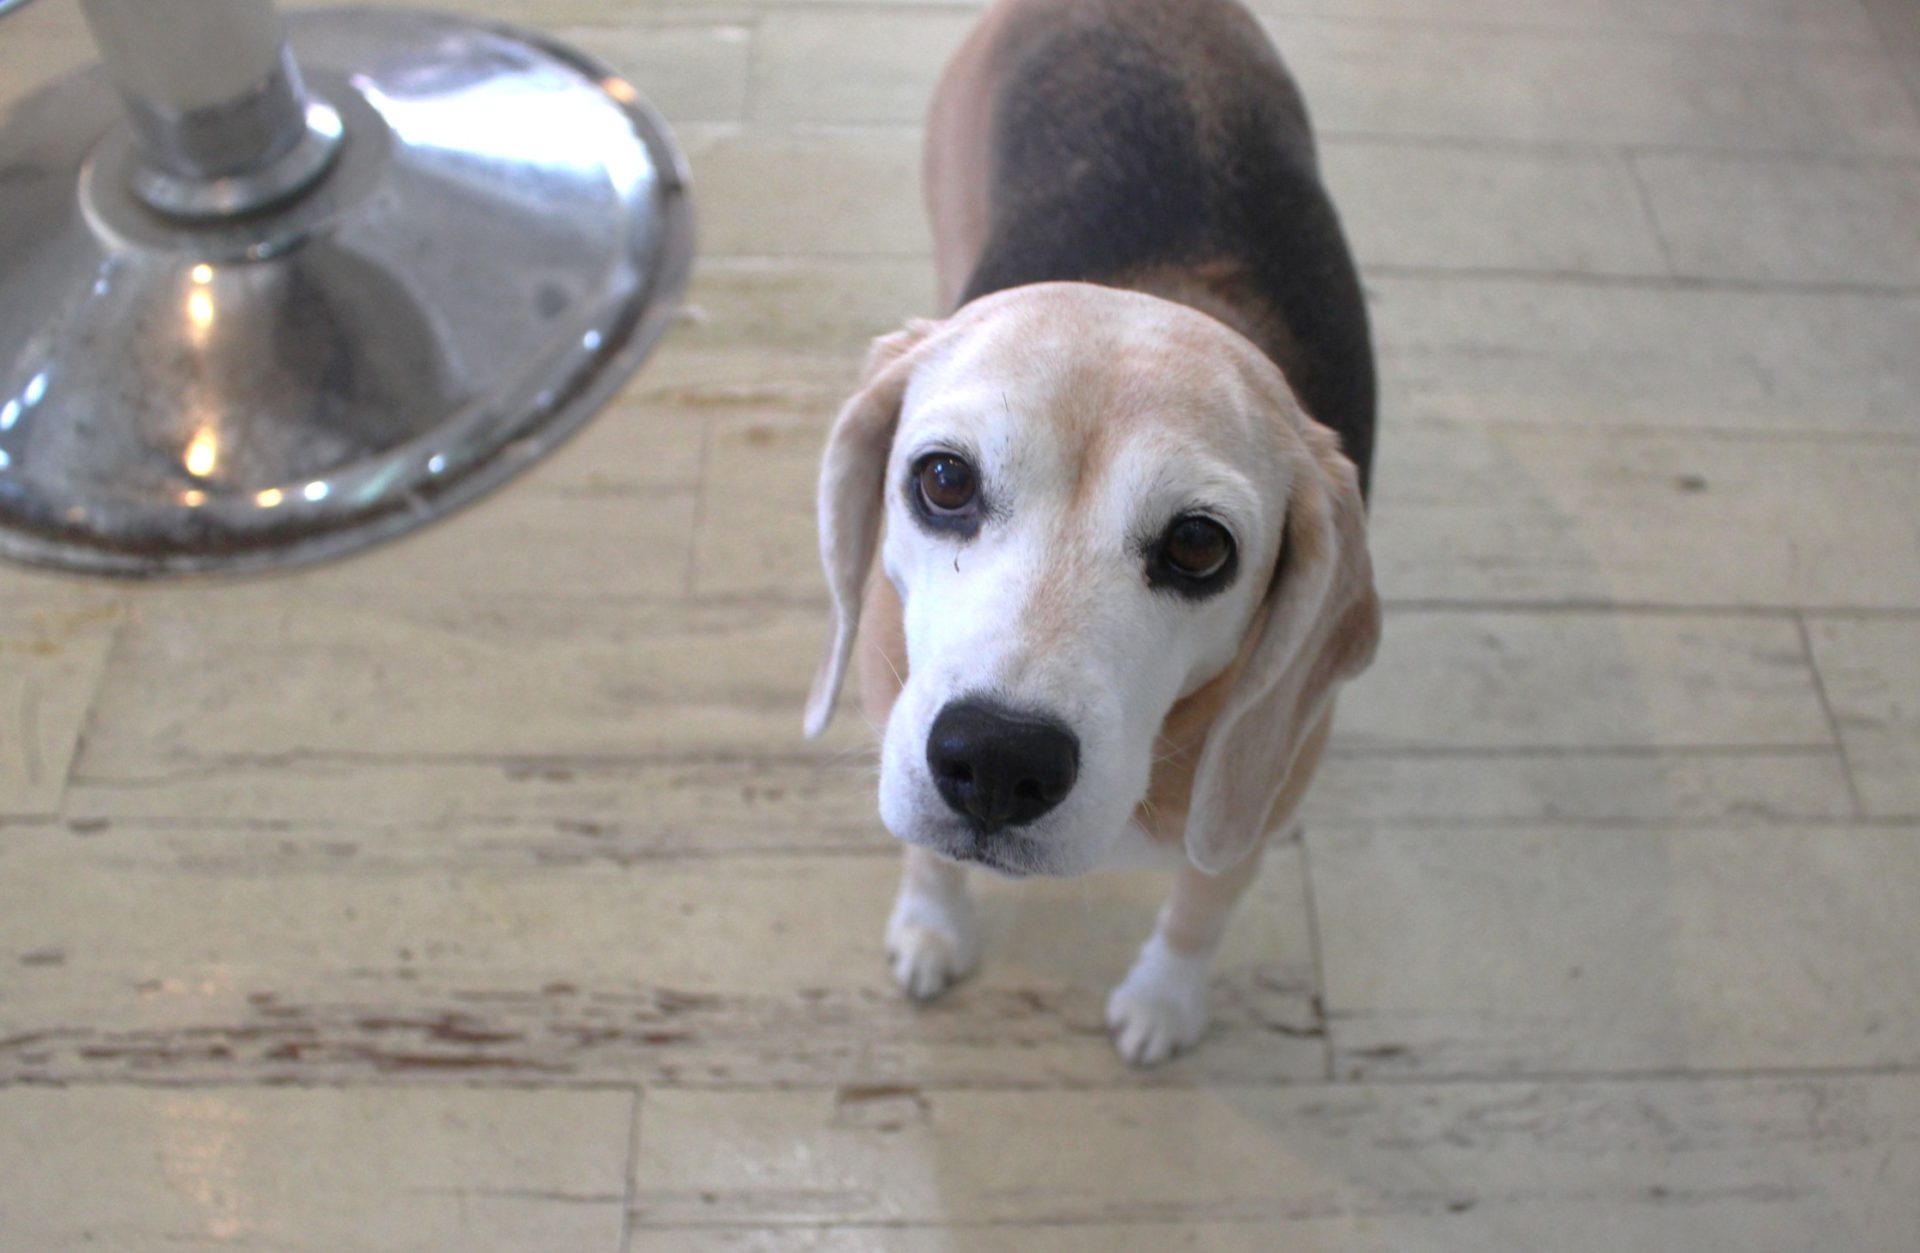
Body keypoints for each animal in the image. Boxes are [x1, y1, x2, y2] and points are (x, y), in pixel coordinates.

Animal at [804, 0, 1381, 1066]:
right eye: (943, 479)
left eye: (1199, 545)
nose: (997, 760)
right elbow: (927, 858)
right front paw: (931, 930)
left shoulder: (1254, 804)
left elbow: (1197, 912)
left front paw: (1163, 1001)